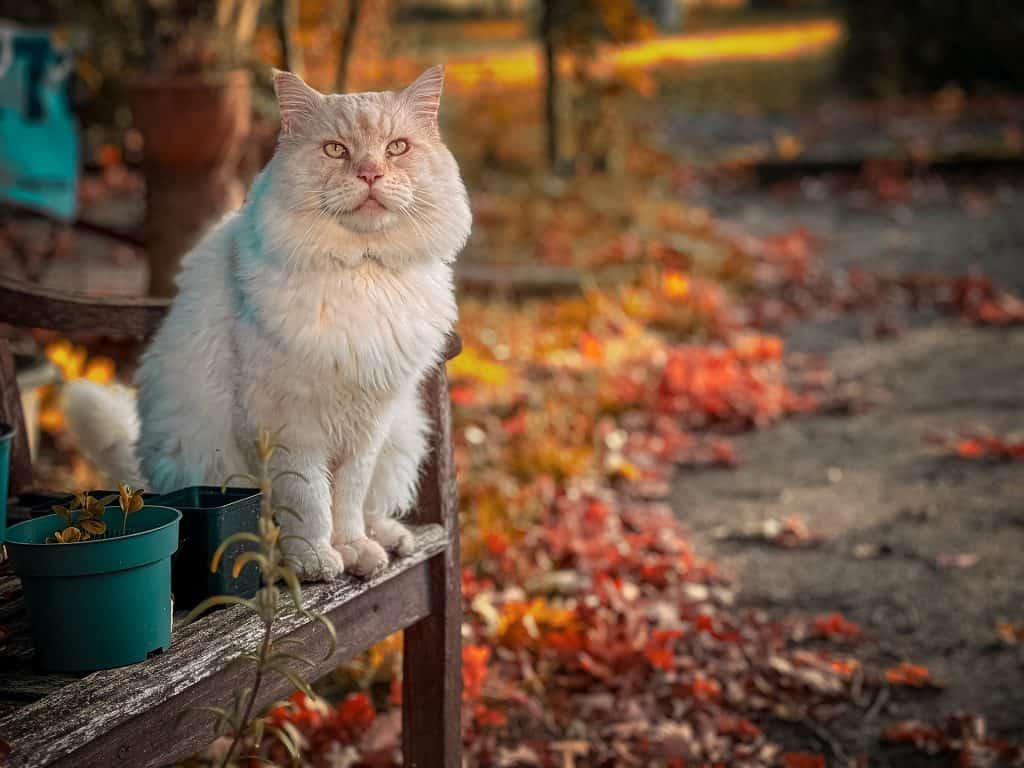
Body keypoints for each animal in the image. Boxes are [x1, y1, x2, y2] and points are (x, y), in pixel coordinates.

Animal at [66, 67, 473, 581]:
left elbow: (348, 501)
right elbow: (312, 503)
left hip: (401, 433)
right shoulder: (291, 428)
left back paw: (387, 540)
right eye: (335, 150)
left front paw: (352, 550)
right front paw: (317, 561)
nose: (370, 174)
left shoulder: (367, 427)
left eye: (396, 148)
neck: (361, 272)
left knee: (373, 508)